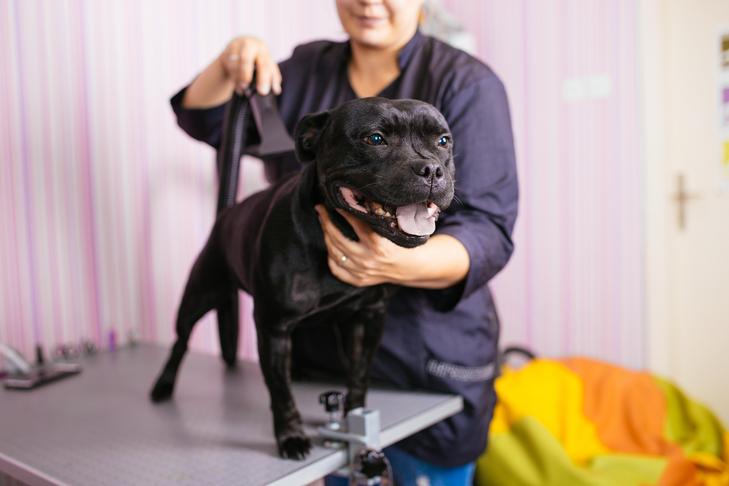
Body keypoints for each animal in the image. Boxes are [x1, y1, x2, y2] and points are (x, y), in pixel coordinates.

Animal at [150, 96, 452, 460]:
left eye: (443, 141)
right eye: (375, 139)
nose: (432, 169)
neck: (342, 230)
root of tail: (228, 213)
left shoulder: (366, 318)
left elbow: (359, 374)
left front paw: (356, 414)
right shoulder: (273, 327)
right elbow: (280, 392)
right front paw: (291, 435)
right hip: (200, 294)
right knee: (180, 341)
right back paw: (163, 385)